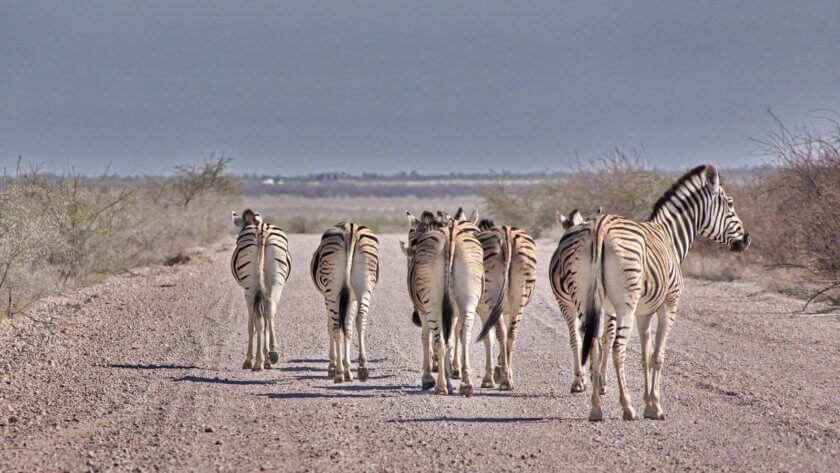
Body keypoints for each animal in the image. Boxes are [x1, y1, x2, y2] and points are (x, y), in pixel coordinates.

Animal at [231, 208, 290, 370]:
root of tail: (262, 230)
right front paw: (266, 356)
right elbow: (266, 321)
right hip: (276, 282)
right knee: (270, 311)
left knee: (257, 320)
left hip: (251, 288)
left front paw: (251, 360)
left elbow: (252, 324)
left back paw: (256, 362)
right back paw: (272, 354)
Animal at [310, 223, 378, 382]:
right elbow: (348, 328)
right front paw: (348, 369)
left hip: (332, 291)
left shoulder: (327, 297)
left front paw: (333, 366)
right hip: (365, 286)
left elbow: (331, 327)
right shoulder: (351, 298)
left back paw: (339, 372)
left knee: (335, 326)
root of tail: (350, 228)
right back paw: (362, 367)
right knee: (360, 319)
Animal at [400, 208, 486, 396]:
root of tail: (450, 238)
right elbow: (452, 339)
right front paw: (449, 374)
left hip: (432, 304)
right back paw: (465, 384)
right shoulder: (452, 312)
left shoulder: (422, 310)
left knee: (439, 340)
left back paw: (440, 386)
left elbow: (427, 338)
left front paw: (429, 377)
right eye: (413, 240)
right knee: (464, 335)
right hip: (468, 299)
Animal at [472, 218, 540, 390]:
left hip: (492, 297)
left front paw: (489, 378)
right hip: (519, 296)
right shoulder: (506, 310)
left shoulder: (484, 310)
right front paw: (502, 369)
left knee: (501, 333)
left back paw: (504, 380)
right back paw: (507, 380)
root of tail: (506, 234)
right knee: (511, 334)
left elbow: (487, 339)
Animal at [552, 165, 748, 420]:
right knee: (617, 349)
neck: (669, 236)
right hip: (624, 304)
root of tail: (599, 227)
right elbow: (657, 355)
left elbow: (645, 355)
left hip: (585, 301)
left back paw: (595, 408)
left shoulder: (643, 312)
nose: (746, 239)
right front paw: (655, 406)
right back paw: (627, 407)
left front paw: (649, 403)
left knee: (592, 344)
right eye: (730, 204)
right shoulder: (669, 304)